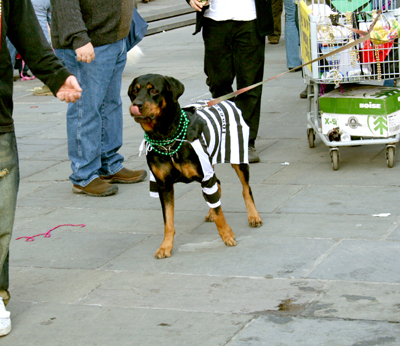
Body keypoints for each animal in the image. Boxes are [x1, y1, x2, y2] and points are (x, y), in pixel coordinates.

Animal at [128, 74, 262, 258]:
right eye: (134, 91)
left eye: (154, 90)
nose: (137, 104)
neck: (166, 138)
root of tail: (227, 100)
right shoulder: (164, 185)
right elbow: (168, 221)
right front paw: (165, 246)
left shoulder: (205, 176)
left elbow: (220, 213)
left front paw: (227, 235)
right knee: (217, 185)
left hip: (237, 156)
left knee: (245, 189)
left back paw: (253, 216)